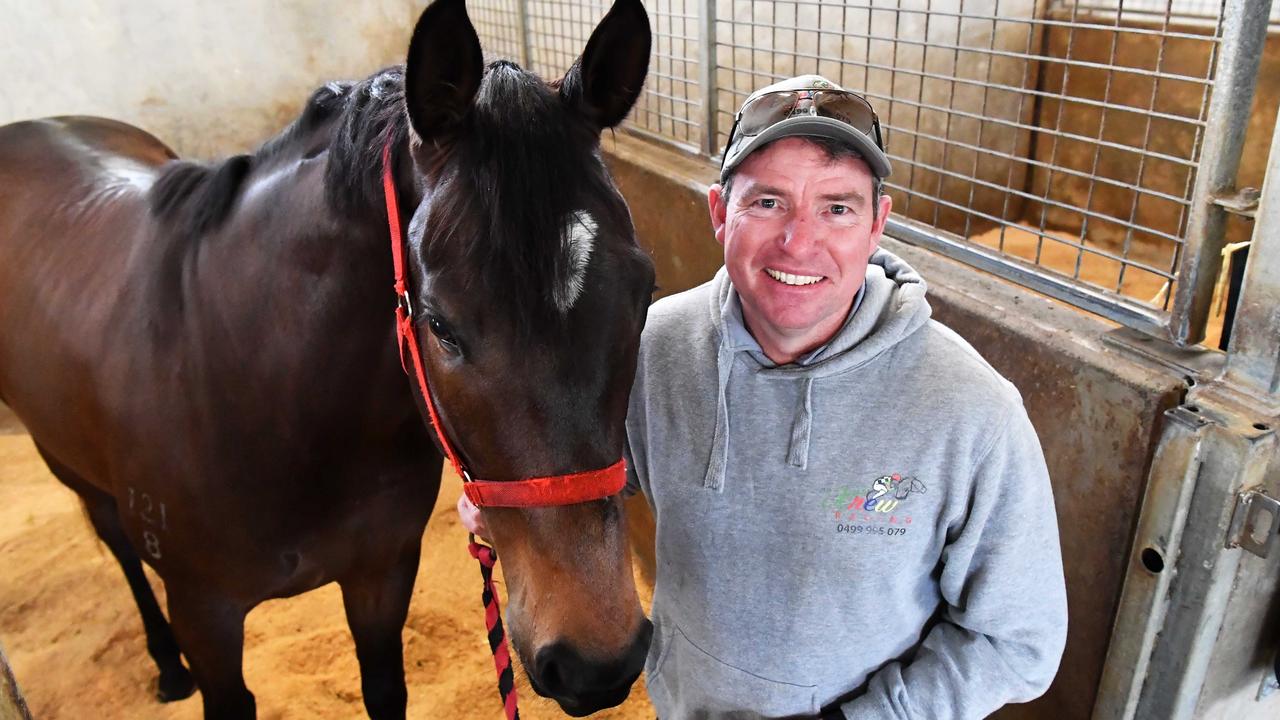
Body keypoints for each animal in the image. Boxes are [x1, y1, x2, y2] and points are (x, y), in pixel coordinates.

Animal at [0, 2, 655, 712]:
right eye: (439, 325)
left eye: (644, 291)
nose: (597, 660)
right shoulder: (205, 617)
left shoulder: (380, 576)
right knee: (118, 545)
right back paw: (166, 666)